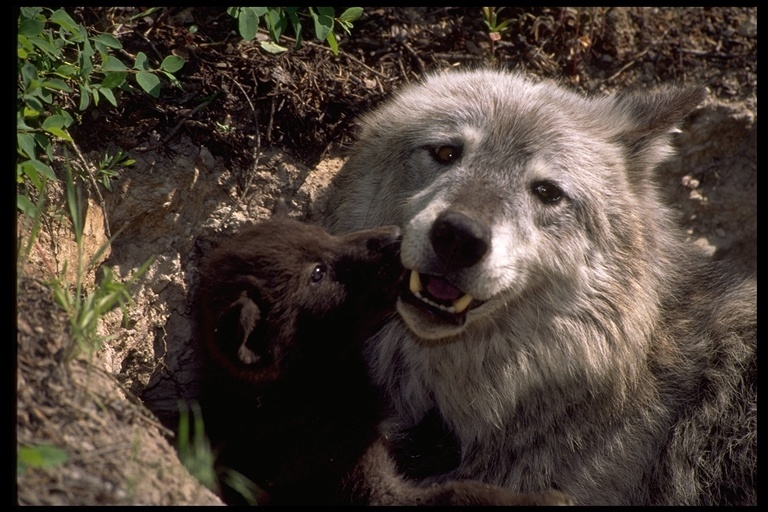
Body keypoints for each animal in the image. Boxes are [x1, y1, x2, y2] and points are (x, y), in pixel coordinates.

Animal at [195, 210, 572, 506]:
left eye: (325, 233)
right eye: (316, 274)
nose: (395, 236)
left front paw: (436, 436)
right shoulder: (356, 481)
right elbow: (455, 493)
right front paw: (542, 499)